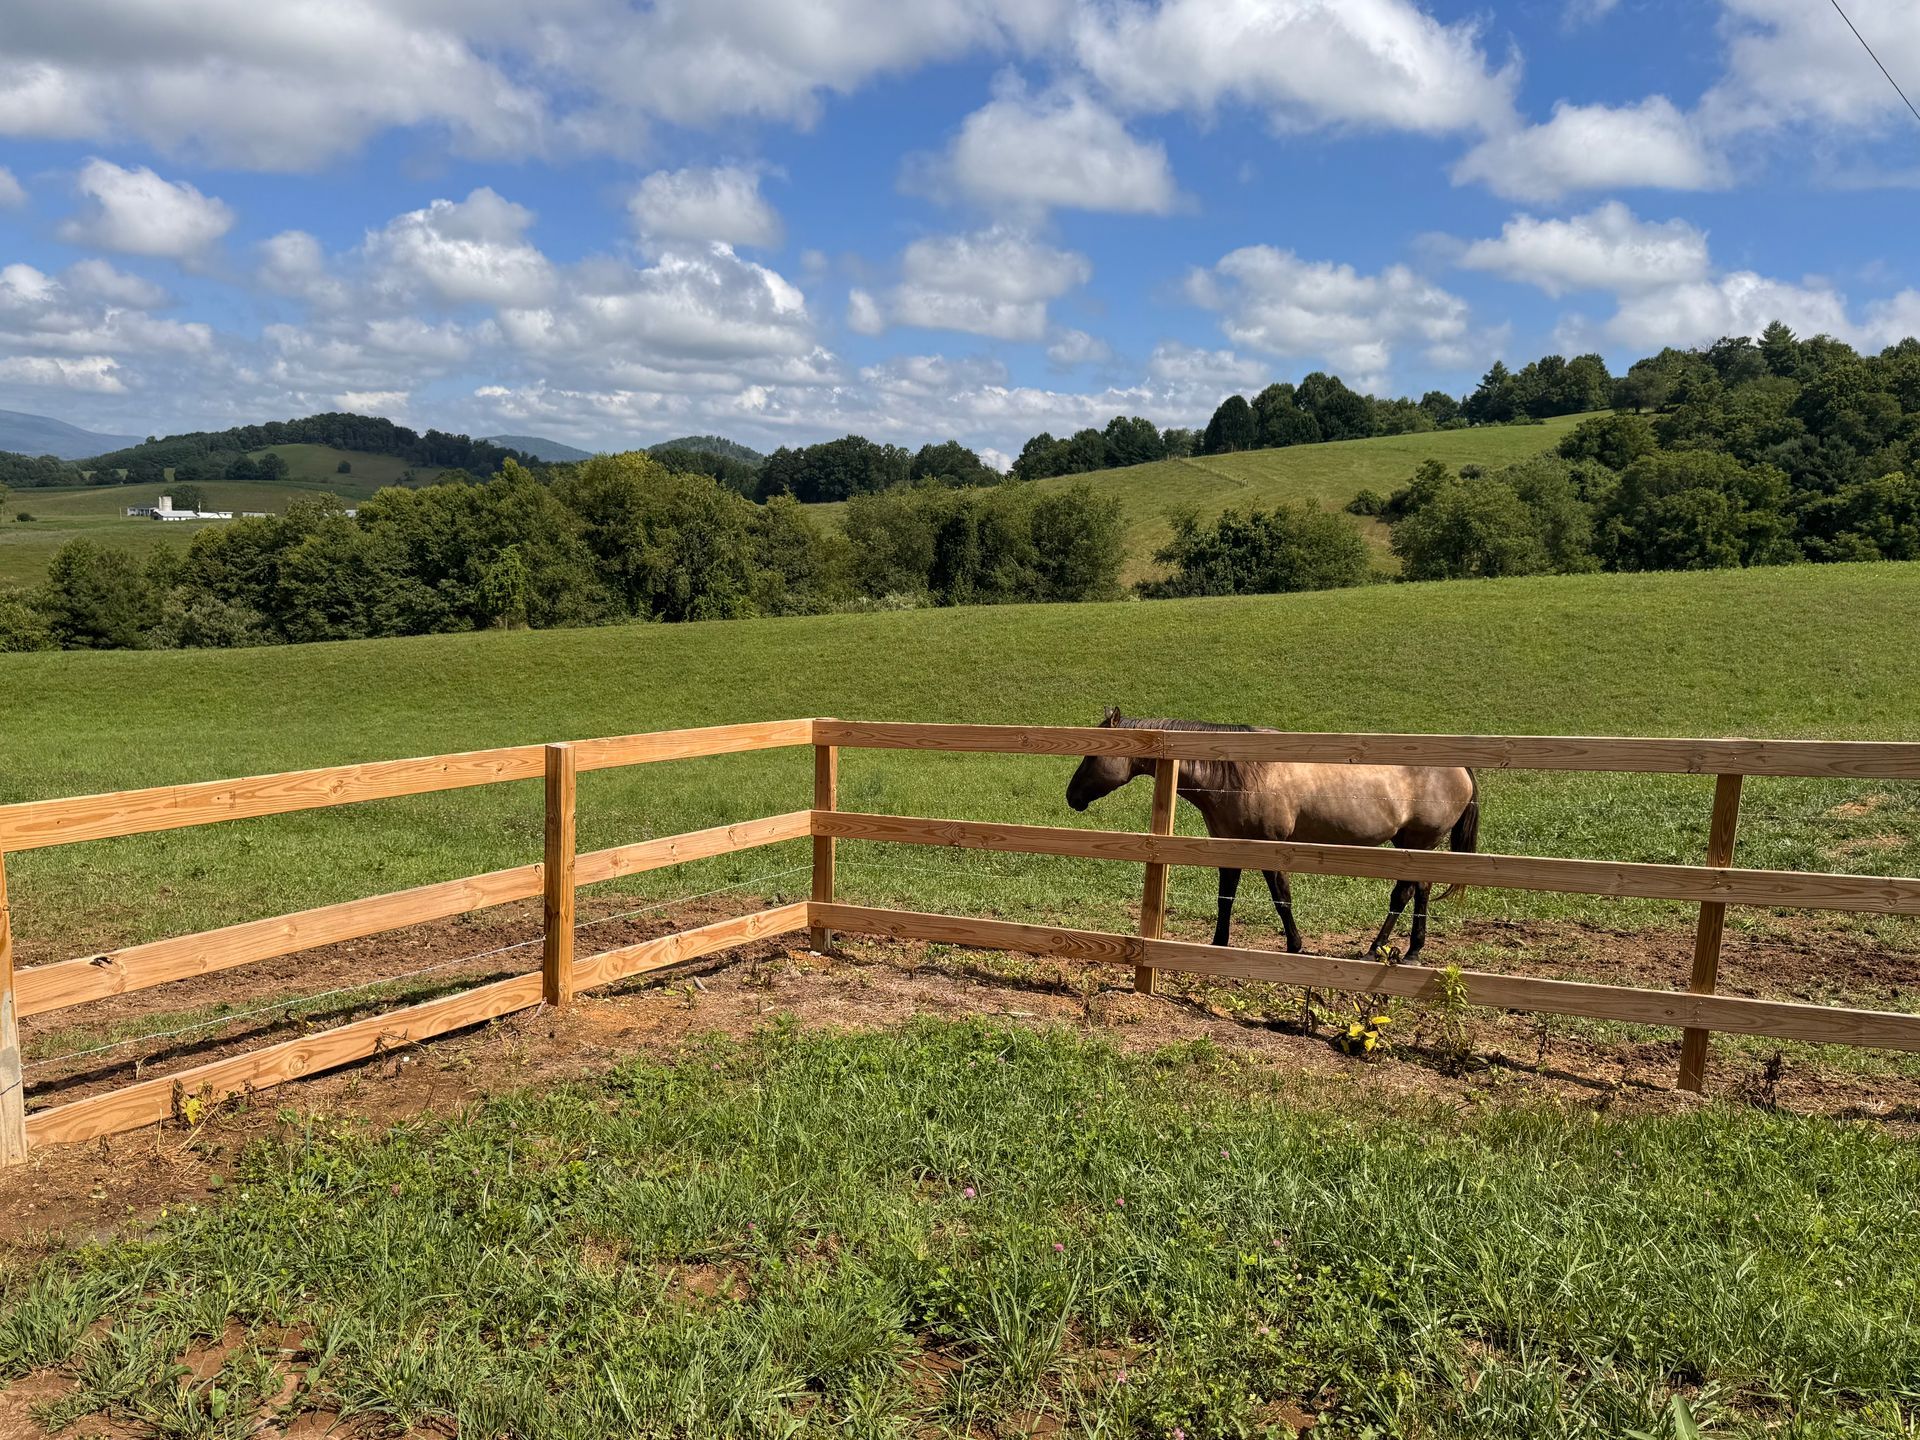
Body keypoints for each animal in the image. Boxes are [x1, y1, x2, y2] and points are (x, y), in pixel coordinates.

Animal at [1064, 708, 1478, 960]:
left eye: (1093, 754)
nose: (1072, 796)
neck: (1239, 773)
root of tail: (1458, 766)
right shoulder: (1229, 848)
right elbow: (1226, 898)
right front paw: (1219, 944)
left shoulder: (1271, 848)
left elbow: (1282, 898)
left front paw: (1296, 946)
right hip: (1410, 845)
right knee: (1417, 891)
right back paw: (1408, 950)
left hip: (1419, 843)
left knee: (1406, 893)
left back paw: (1381, 949)